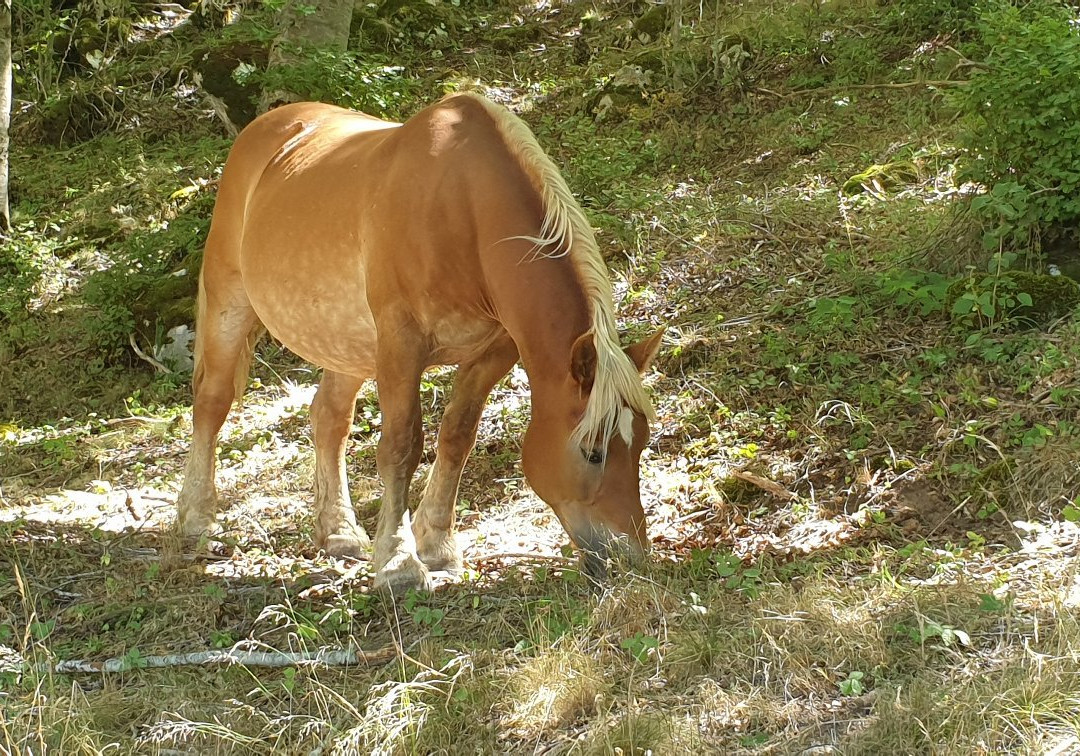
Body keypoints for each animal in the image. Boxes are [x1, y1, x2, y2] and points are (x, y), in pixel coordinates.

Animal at [173, 91, 660, 591]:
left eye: (642, 444)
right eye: (593, 452)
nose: (631, 557)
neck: (465, 213)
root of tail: (266, 127)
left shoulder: (494, 351)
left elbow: (457, 436)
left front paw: (437, 545)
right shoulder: (400, 346)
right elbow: (401, 448)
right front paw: (399, 563)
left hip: (345, 343)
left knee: (329, 420)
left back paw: (340, 532)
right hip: (230, 301)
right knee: (211, 403)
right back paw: (196, 517)